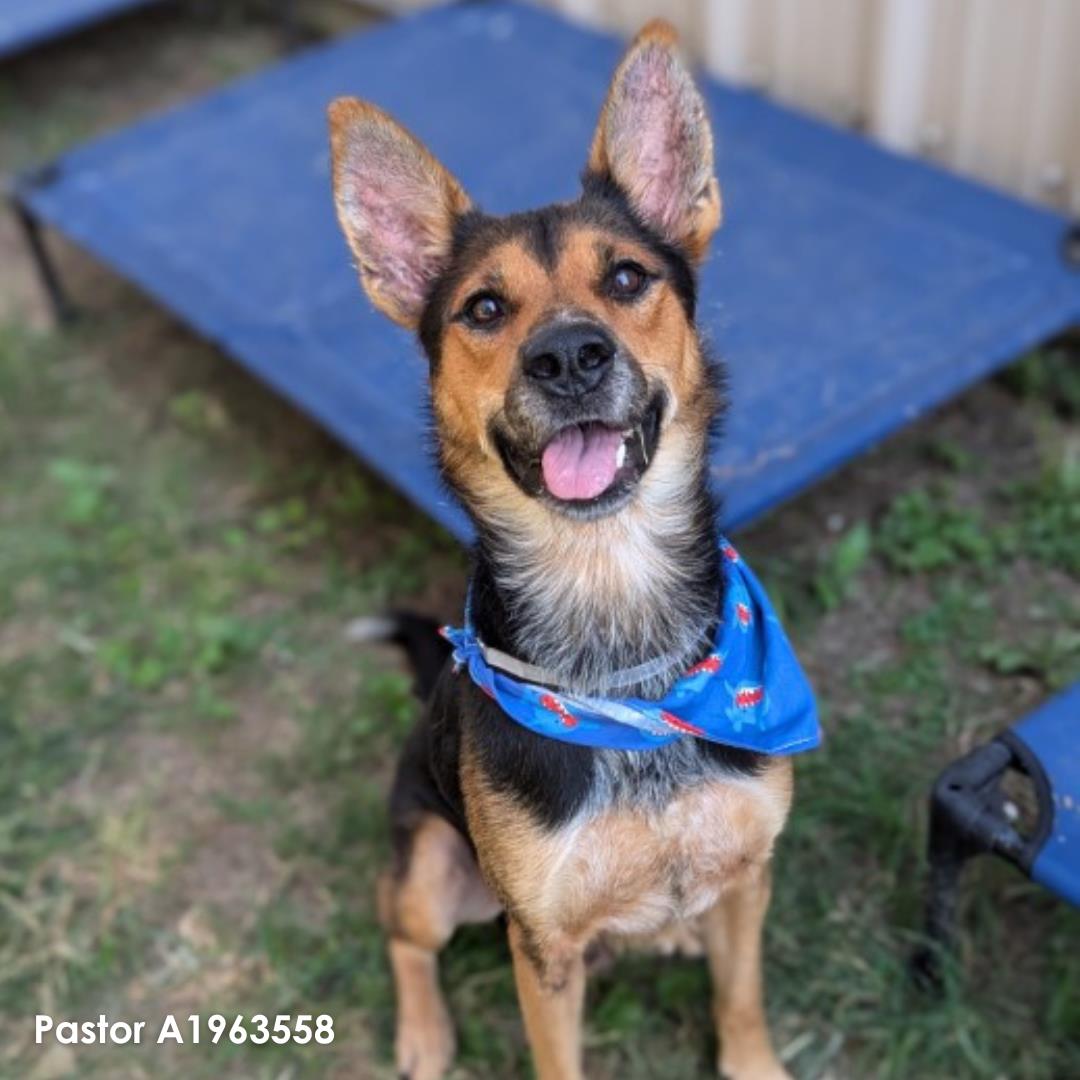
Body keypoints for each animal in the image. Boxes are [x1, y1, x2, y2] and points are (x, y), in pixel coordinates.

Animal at [328, 19, 812, 1080]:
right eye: (483, 309)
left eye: (627, 277)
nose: (568, 358)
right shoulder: (541, 945)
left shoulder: (750, 875)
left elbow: (742, 997)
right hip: (434, 869)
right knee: (395, 925)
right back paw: (423, 1032)